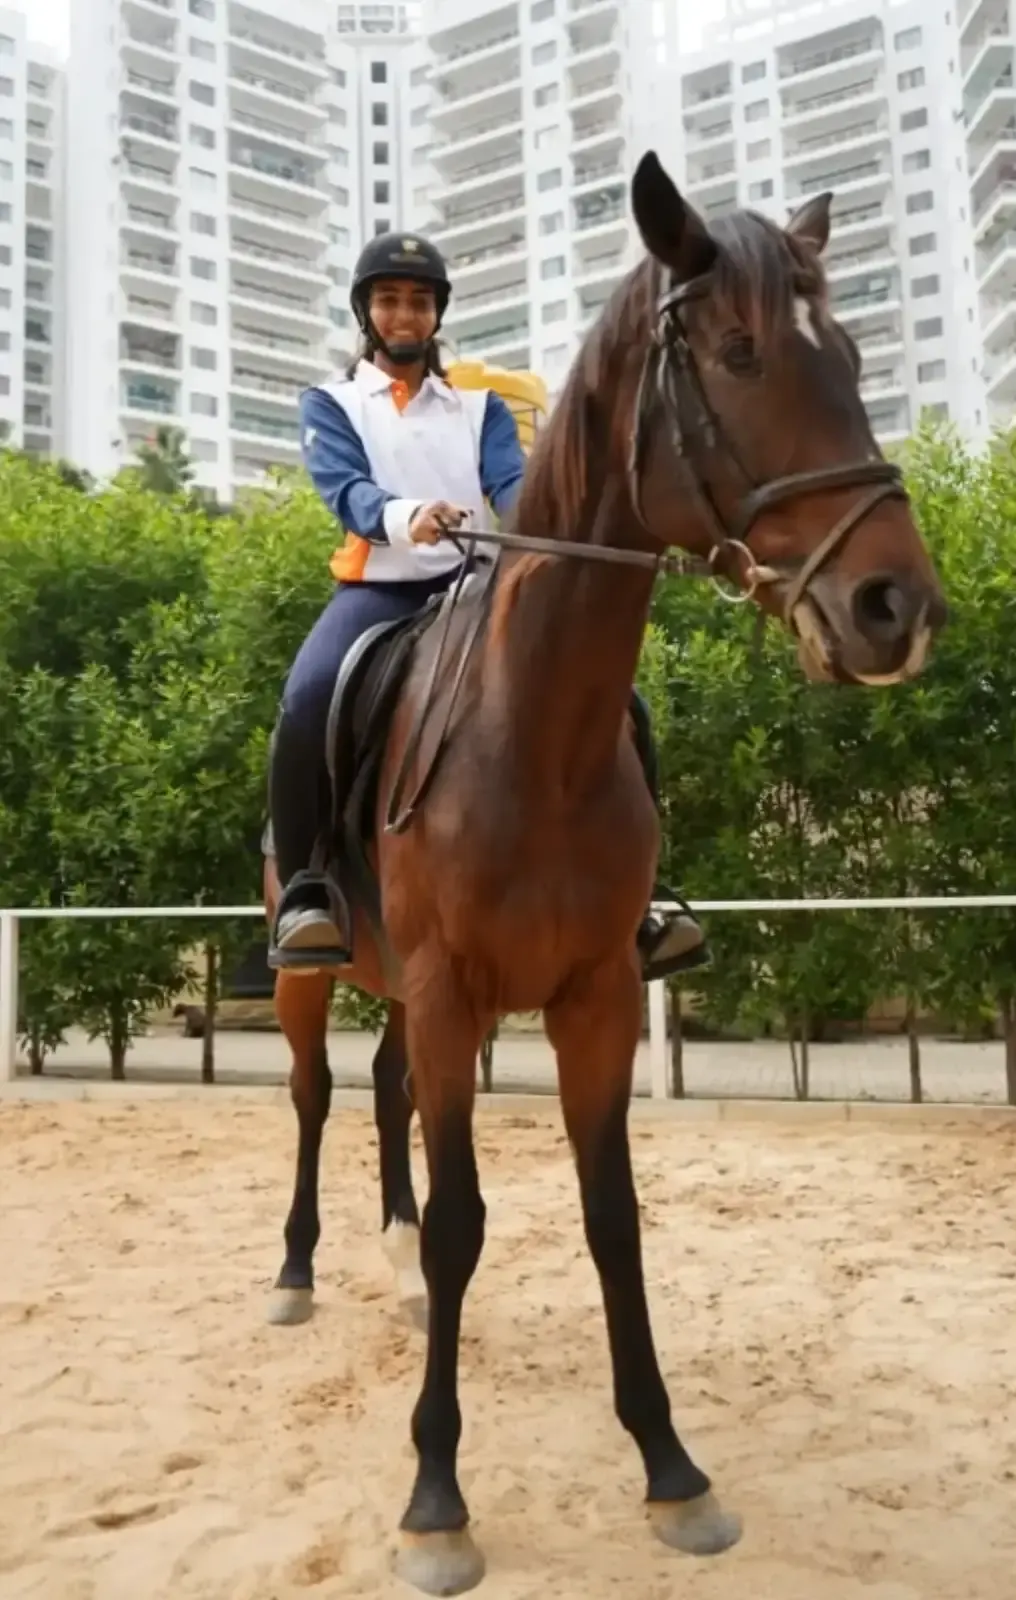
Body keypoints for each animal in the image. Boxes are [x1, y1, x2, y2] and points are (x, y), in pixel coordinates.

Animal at [261, 151, 947, 1595]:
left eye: (852, 356)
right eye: (739, 355)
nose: (894, 609)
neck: (536, 735)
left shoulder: (589, 1000)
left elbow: (611, 1216)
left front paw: (672, 1470)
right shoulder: (458, 993)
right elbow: (469, 1219)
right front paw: (435, 1501)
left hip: (408, 990)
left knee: (386, 1092)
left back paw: (391, 1264)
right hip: (320, 973)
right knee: (311, 1096)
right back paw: (297, 1274)